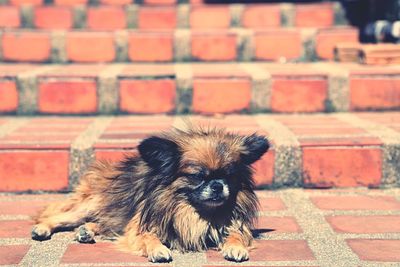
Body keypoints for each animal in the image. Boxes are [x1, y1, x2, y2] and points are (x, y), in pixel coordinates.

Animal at [31, 126, 268, 262]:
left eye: (230, 176)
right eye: (197, 176)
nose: (218, 185)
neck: (195, 211)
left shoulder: (234, 225)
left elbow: (237, 234)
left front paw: (235, 247)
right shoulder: (140, 227)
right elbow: (148, 237)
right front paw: (158, 250)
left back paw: (86, 231)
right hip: (88, 206)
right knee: (56, 217)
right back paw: (42, 229)